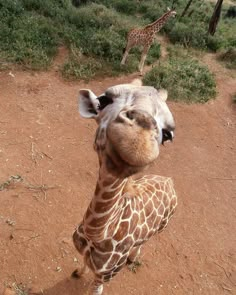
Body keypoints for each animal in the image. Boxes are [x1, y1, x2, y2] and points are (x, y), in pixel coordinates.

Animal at [73, 80, 178, 294]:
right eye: (104, 100)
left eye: (168, 134)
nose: (137, 142)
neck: (97, 236)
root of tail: (169, 181)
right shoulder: (86, 255)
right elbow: (84, 262)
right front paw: (78, 272)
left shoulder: (107, 276)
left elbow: (95, 289)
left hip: (163, 226)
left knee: (146, 241)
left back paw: (133, 257)